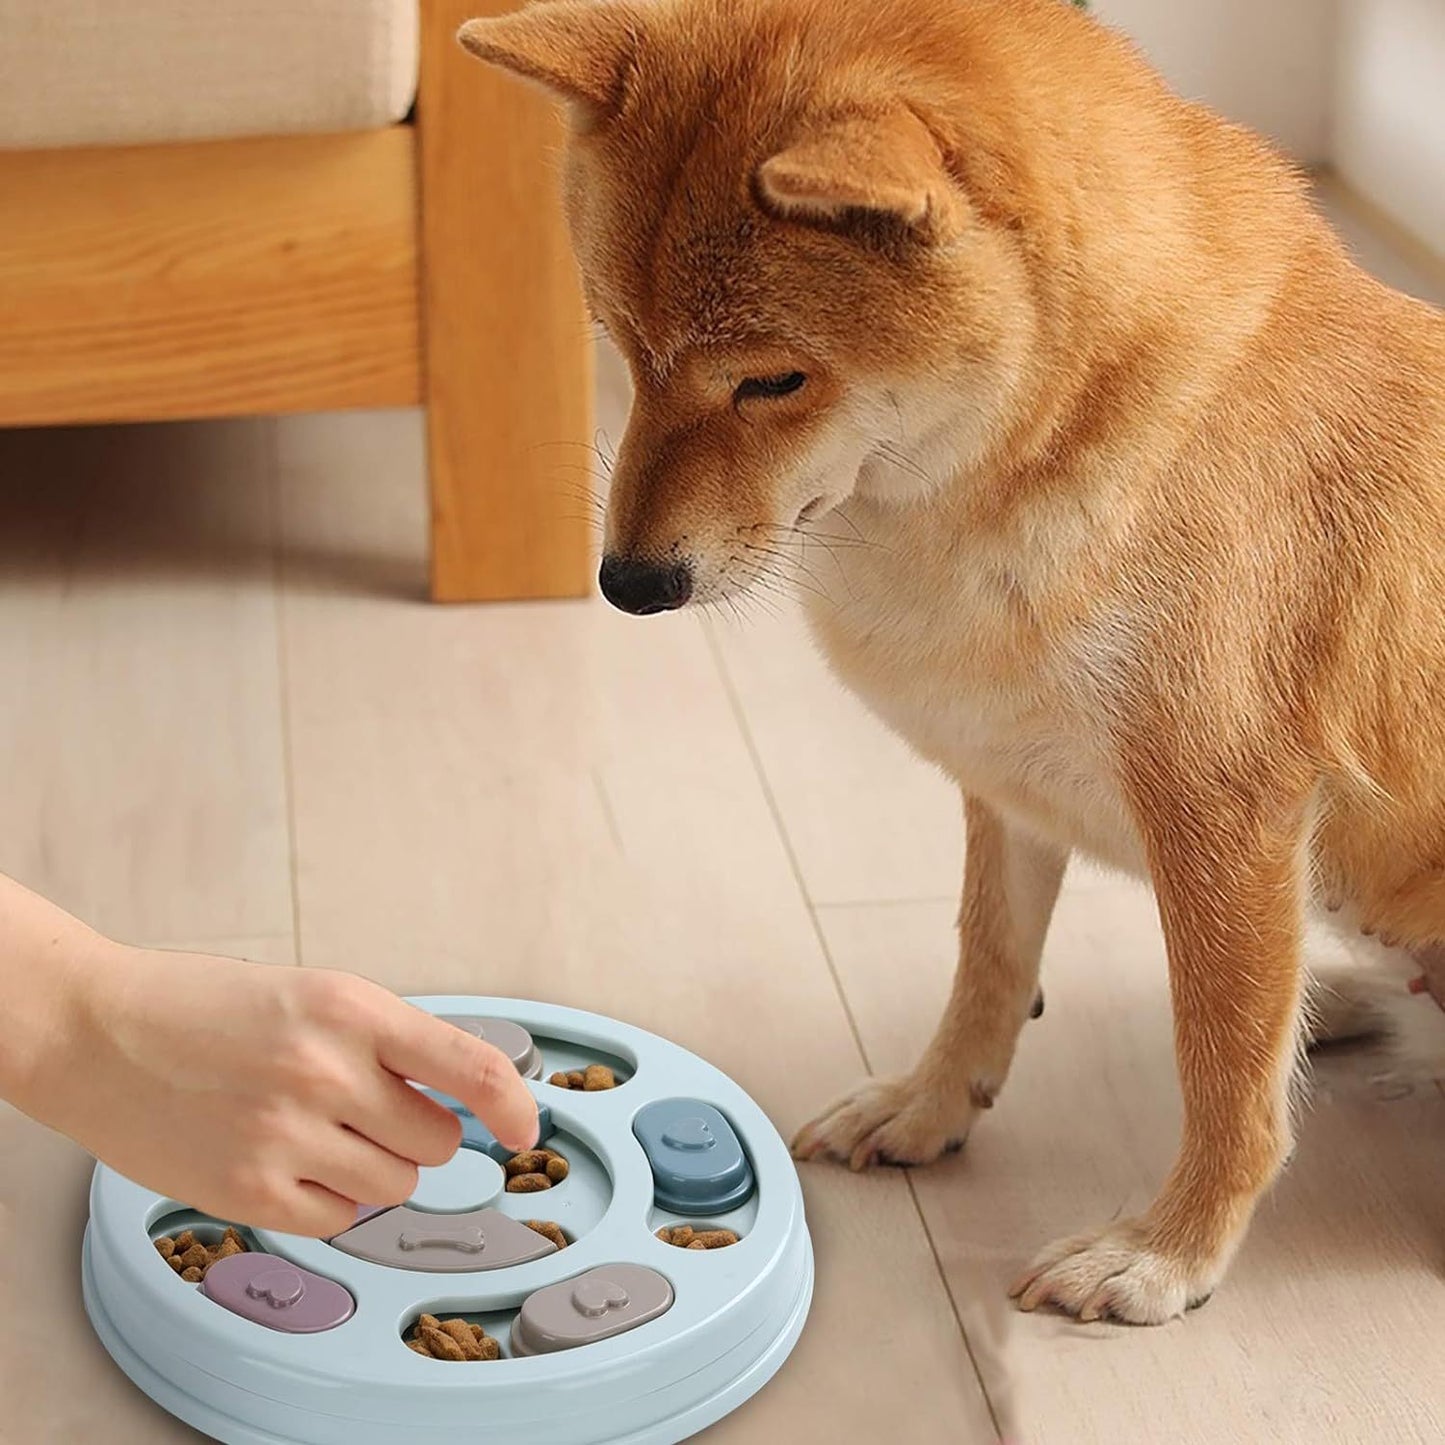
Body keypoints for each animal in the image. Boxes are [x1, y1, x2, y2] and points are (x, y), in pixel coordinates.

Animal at [465, 0, 1445, 1323]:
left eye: (772, 379)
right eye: (618, 339)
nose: (627, 584)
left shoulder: (1221, 814)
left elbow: (1223, 1068)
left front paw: (1168, 1251)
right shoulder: (1007, 783)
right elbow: (986, 963)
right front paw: (927, 1106)